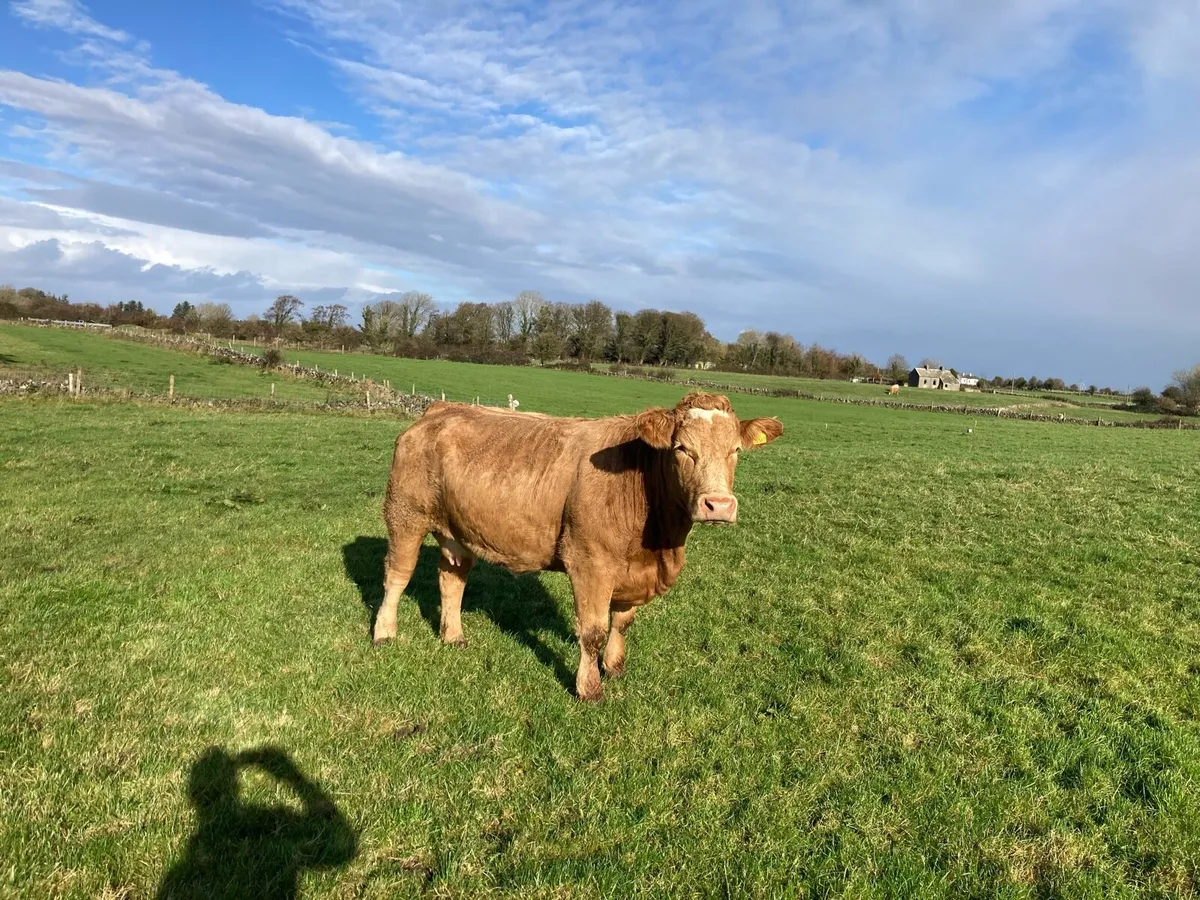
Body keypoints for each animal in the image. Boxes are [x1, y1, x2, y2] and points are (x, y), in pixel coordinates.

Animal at [374, 391, 783, 701]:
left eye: (735, 450)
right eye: (682, 448)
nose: (719, 505)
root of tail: (440, 410)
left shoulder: (632, 571)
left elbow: (622, 622)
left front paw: (615, 668)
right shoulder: (590, 562)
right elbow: (592, 630)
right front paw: (589, 688)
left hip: (457, 531)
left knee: (452, 578)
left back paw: (453, 636)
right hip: (405, 515)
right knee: (397, 575)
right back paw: (384, 633)